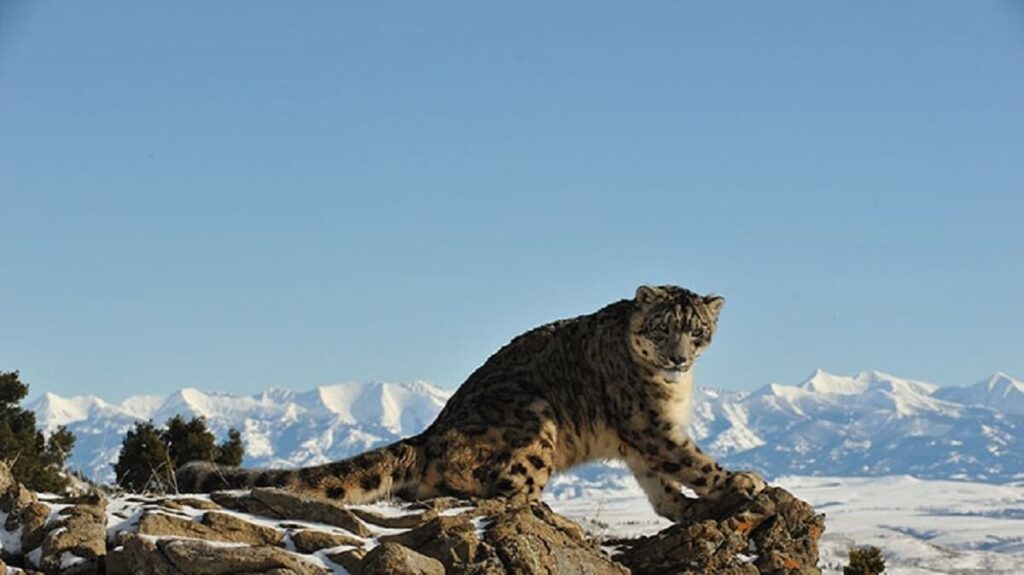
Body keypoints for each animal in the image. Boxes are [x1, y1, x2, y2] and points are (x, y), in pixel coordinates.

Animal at [176, 284, 766, 521]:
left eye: (698, 331)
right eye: (663, 327)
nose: (677, 359)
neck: (672, 392)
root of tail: (430, 433)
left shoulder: (642, 440)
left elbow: (660, 484)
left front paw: (686, 506)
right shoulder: (648, 423)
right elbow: (689, 459)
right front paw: (743, 480)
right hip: (534, 423)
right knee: (485, 486)